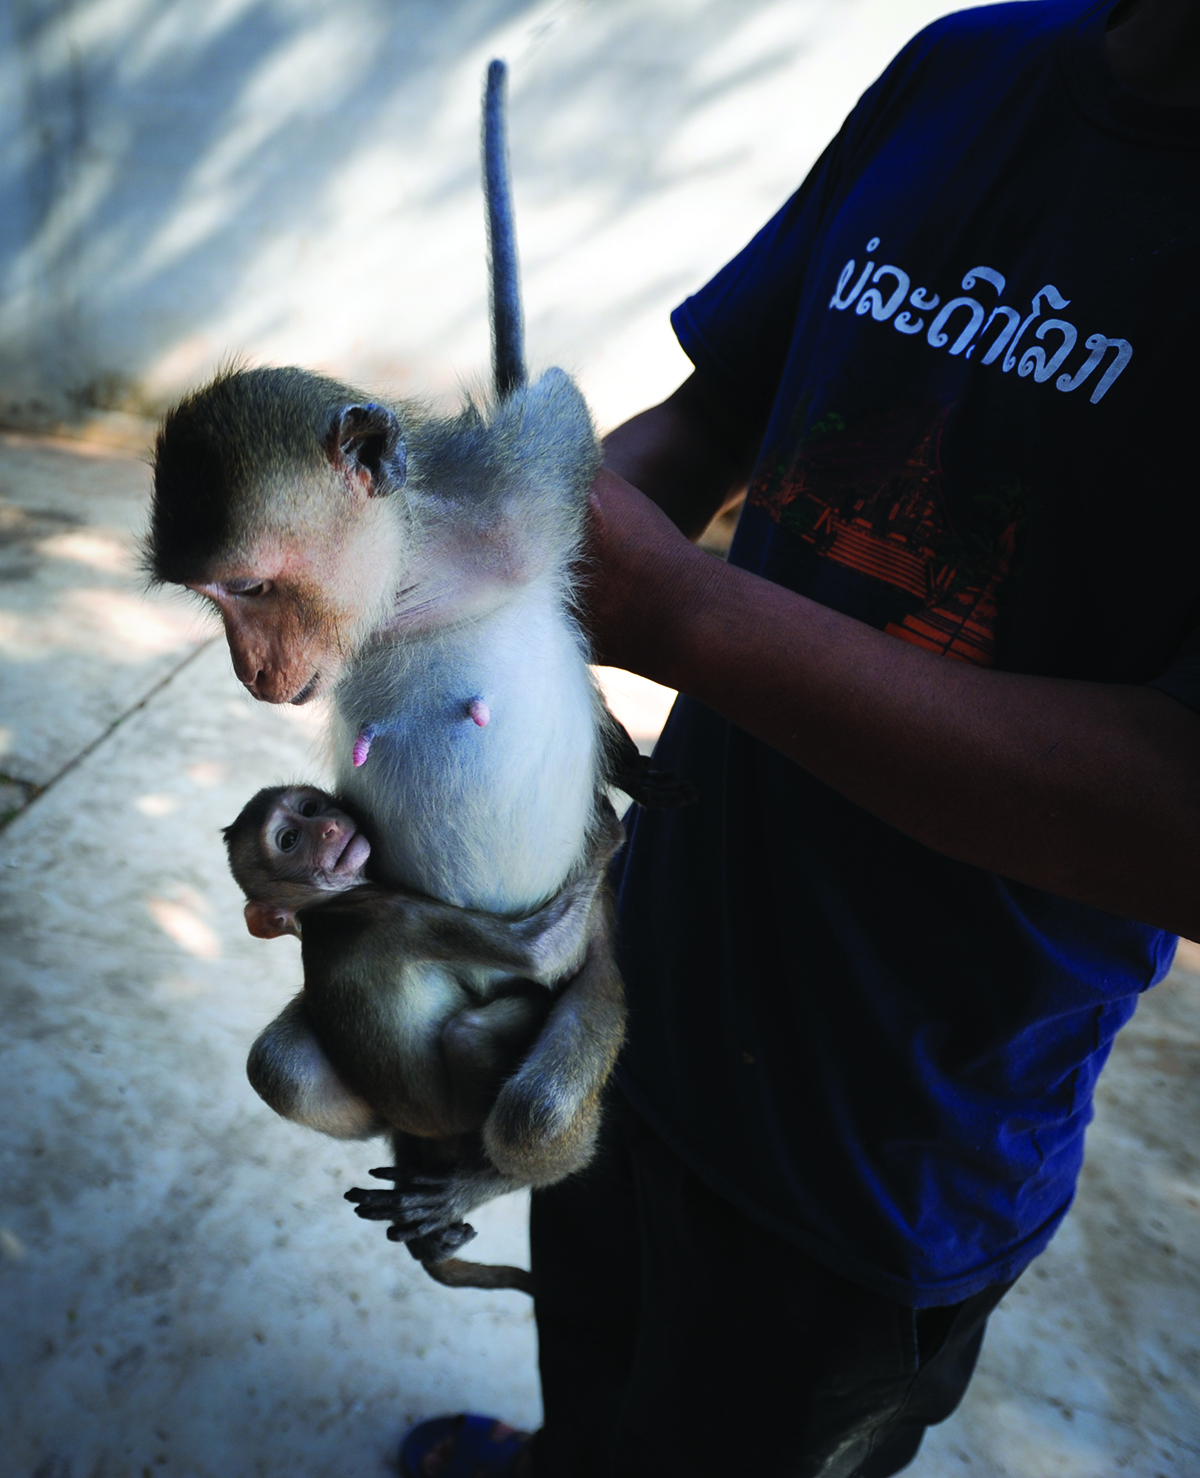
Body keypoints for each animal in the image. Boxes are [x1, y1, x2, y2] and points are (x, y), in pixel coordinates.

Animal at [221, 780, 629, 1288]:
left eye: (309, 809)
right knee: (525, 1096)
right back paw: (489, 1180)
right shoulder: (401, 912)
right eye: (289, 840)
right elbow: (538, 953)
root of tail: (436, 1136)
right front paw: (608, 831)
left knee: (279, 1069)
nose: (329, 826)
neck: (325, 909)